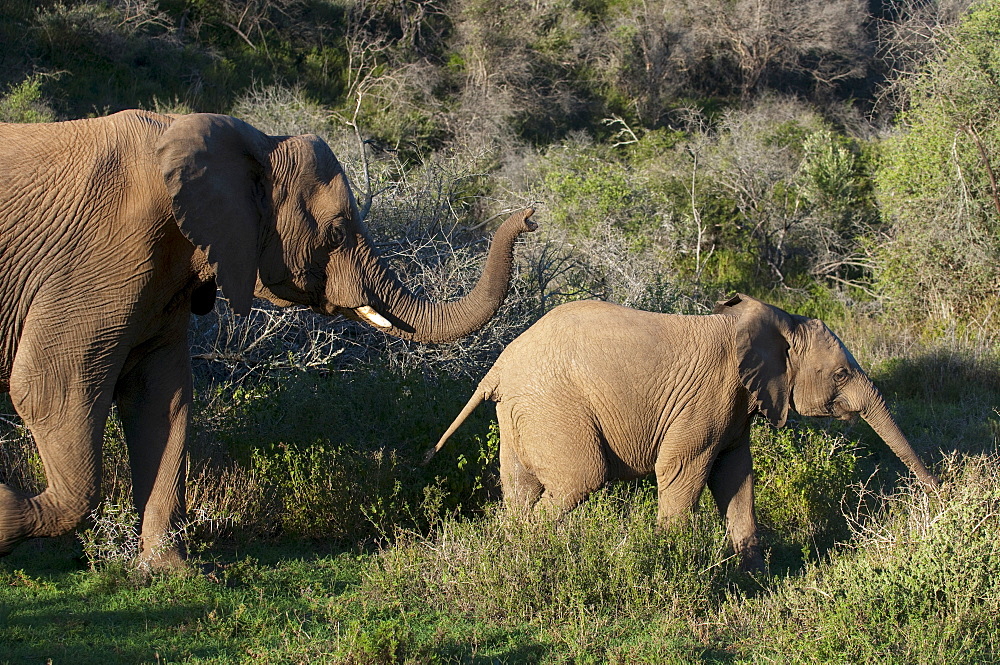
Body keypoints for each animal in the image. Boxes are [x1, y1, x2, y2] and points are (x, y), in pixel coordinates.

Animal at [1, 109, 540, 564]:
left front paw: (169, 572)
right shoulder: (97, 258)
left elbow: (164, 398)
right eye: (337, 232)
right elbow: (49, 388)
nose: (529, 216)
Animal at [428, 296, 936, 572]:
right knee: (579, 480)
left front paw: (755, 580)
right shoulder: (708, 400)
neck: (771, 321)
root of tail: (497, 367)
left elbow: (736, 479)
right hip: (553, 407)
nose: (939, 492)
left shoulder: (736, 409)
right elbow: (681, 473)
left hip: (521, 414)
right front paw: (671, 562)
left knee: (519, 493)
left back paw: (514, 556)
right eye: (841, 374)